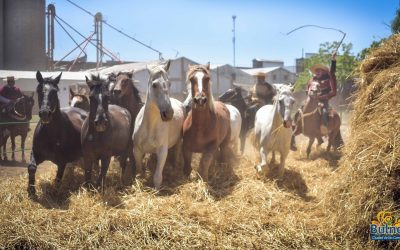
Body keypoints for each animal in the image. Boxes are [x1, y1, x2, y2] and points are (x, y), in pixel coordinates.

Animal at [133, 60, 186, 189]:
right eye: (154, 85)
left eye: (170, 84)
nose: (169, 113)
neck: (149, 127)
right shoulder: (136, 150)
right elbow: (139, 171)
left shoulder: (162, 151)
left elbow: (157, 177)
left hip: (179, 141)